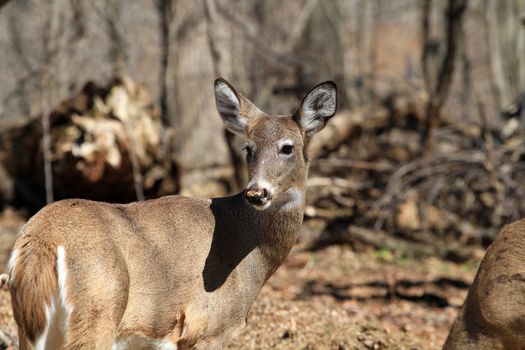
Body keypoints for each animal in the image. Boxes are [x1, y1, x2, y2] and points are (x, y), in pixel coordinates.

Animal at [4, 78, 338, 348]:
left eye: (287, 147)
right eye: (248, 148)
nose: (256, 193)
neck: (252, 253)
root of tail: (41, 241)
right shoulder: (209, 328)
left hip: (33, 323)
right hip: (98, 308)